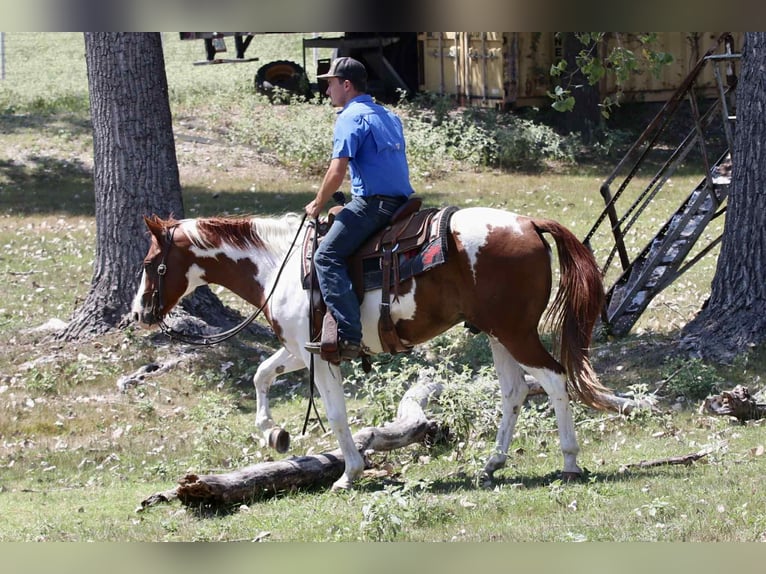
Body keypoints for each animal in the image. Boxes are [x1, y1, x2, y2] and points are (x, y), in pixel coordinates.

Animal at [131, 206, 631, 491]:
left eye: (152, 263)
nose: (138, 313)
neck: (279, 265)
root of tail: (528, 223)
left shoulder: (319, 355)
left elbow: (336, 415)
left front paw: (349, 473)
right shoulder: (299, 349)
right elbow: (262, 374)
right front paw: (273, 433)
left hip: (515, 332)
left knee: (554, 380)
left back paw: (569, 462)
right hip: (498, 333)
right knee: (515, 391)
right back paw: (493, 463)